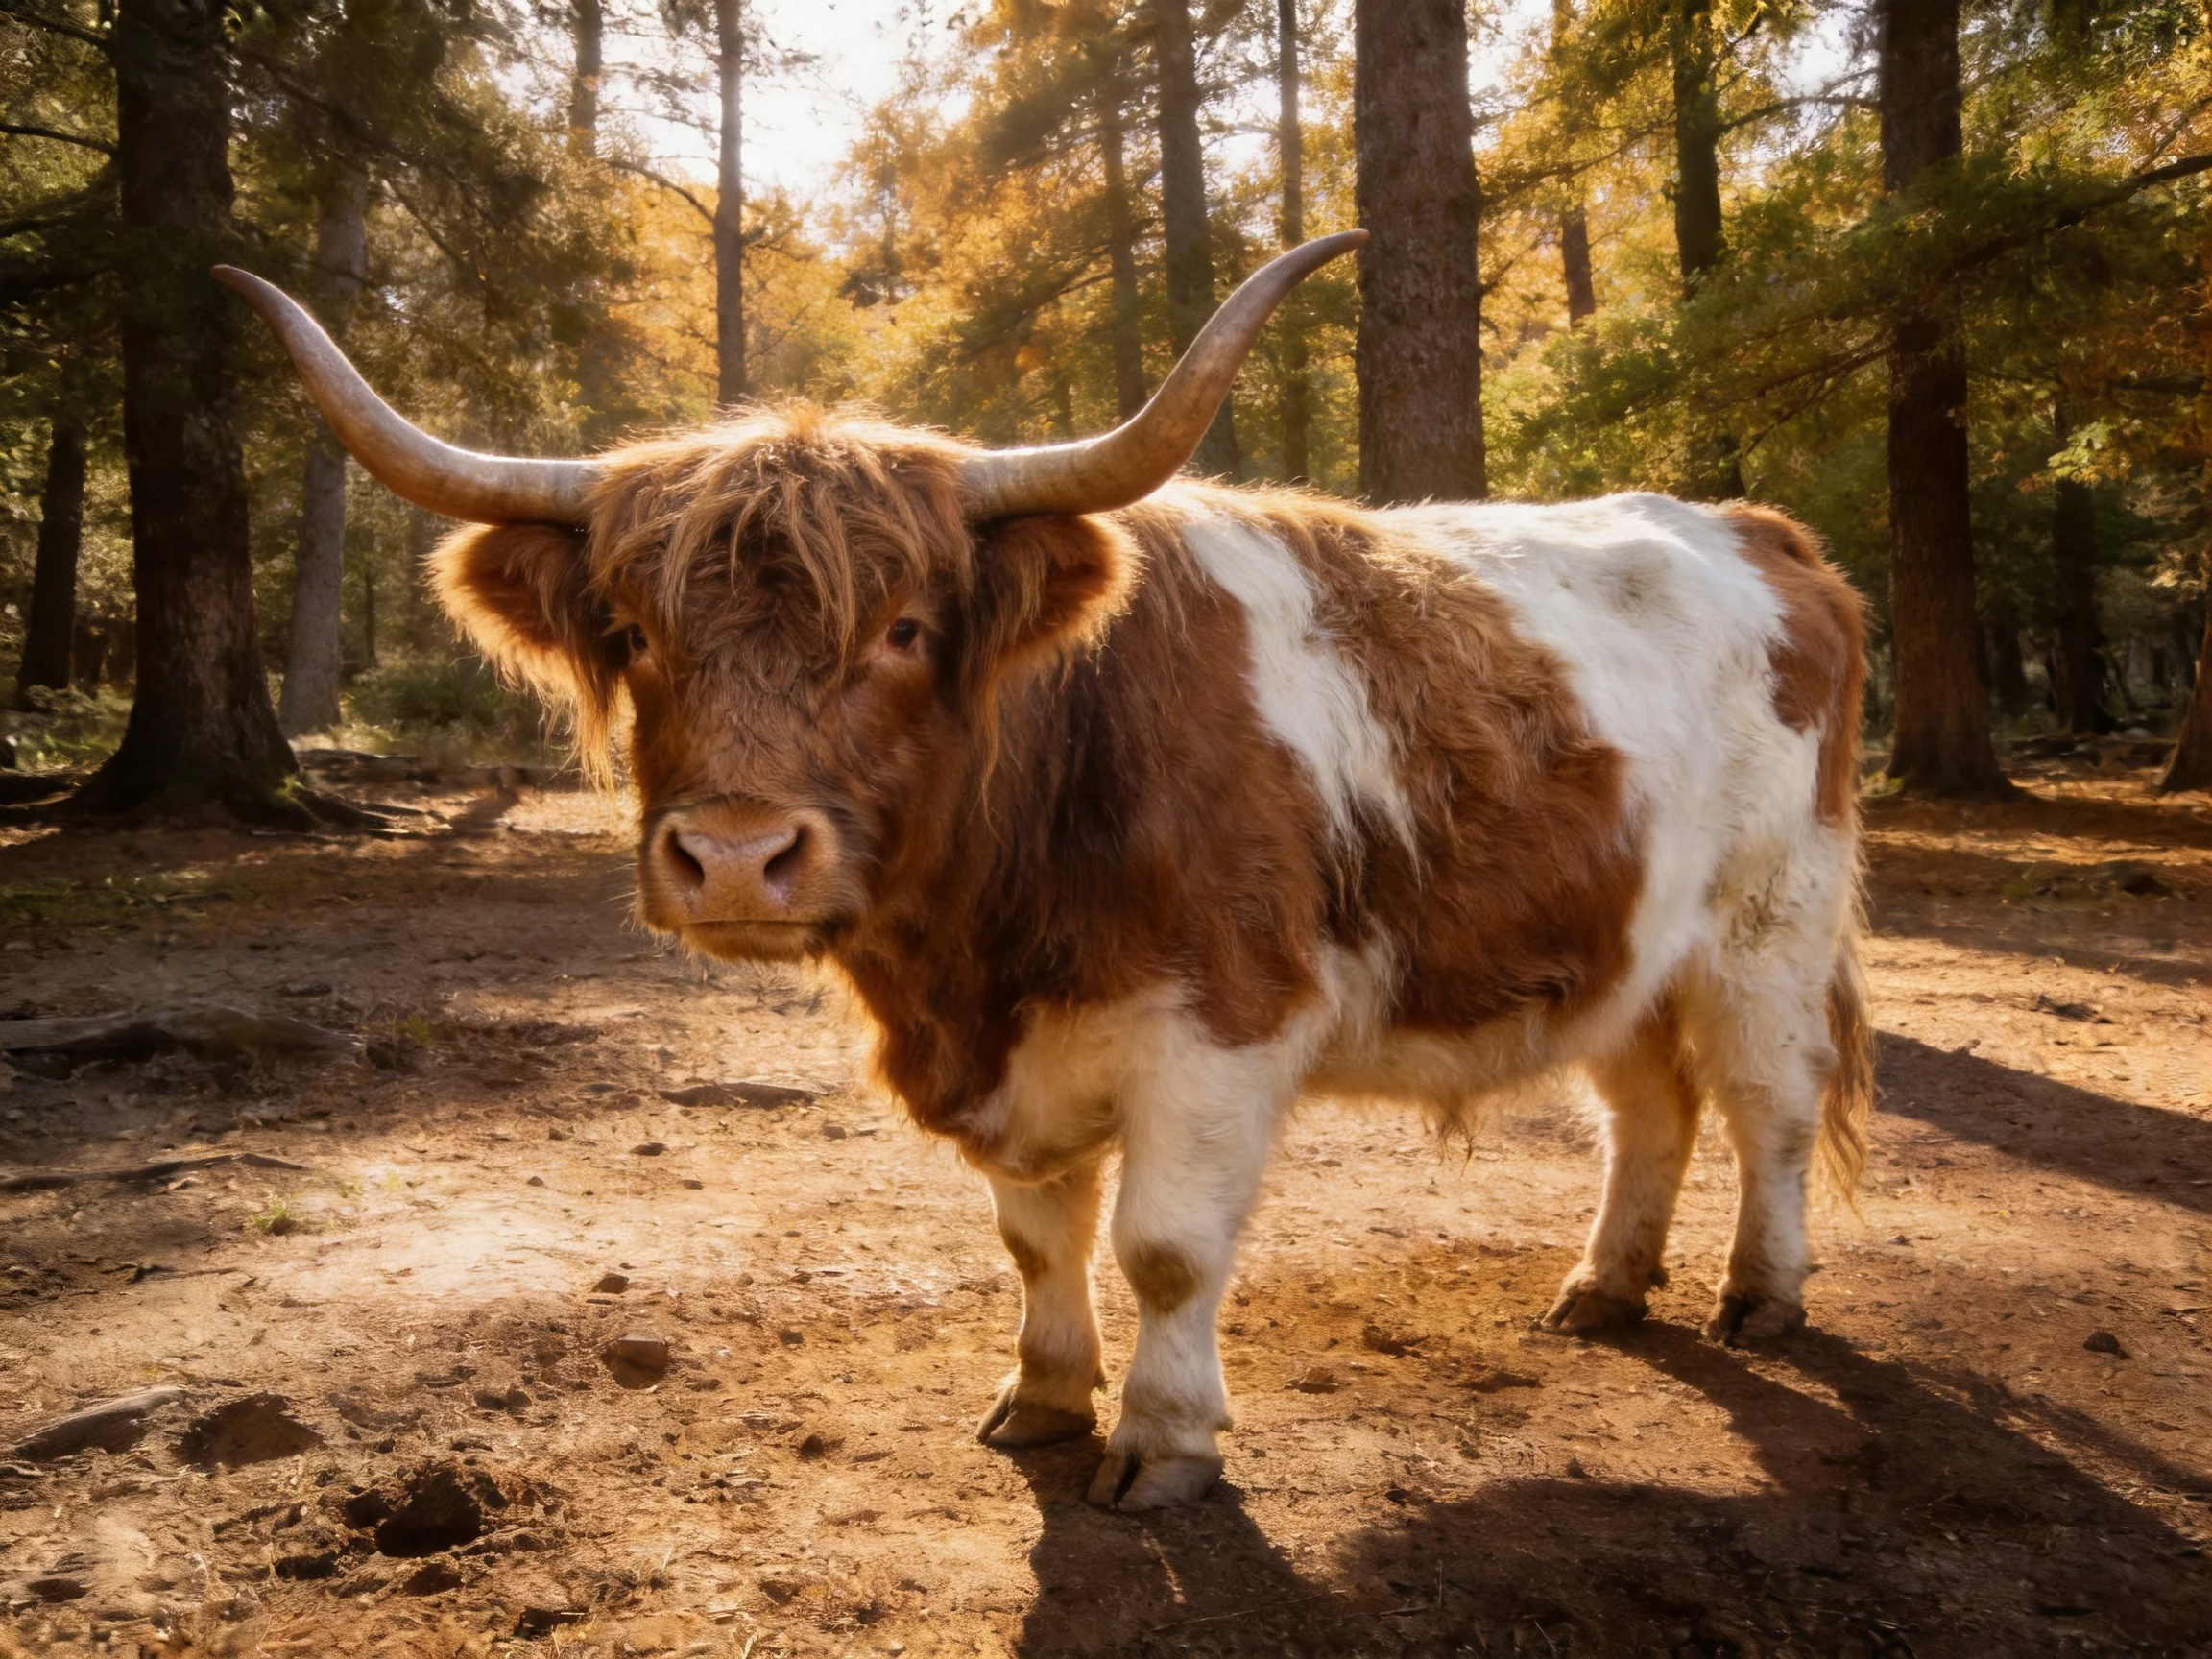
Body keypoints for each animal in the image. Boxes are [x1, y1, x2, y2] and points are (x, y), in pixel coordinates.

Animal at [219, 231, 1871, 1511]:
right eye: (630, 633)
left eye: (903, 626)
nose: (737, 857)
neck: (978, 948)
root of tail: (1756, 528)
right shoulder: (1011, 1058)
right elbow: (1035, 1237)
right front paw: (1046, 1398)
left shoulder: (1219, 1030)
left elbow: (1163, 1247)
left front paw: (1164, 1442)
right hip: (1627, 942)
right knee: (1649, 1107)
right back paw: (1606, 1287)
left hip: (1769, 925)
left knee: (1769, 1106)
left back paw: (1763, 1296)